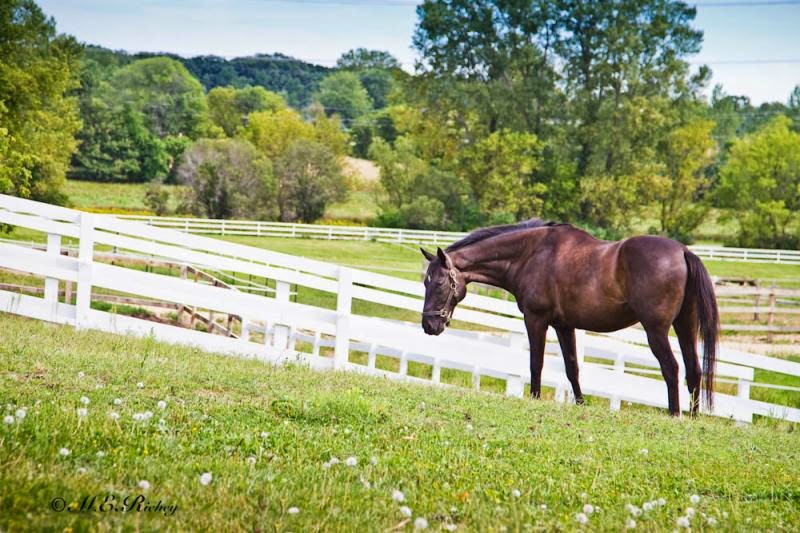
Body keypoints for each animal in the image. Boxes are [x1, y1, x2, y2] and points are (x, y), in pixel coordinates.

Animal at [420, 219, 719, 416]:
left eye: (438, 283)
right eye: (426, 281)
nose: (429, 325)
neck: (531, 253)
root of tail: (683, 251)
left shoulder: (536, 320)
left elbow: (536, 364)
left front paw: (535, 398)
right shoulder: (564, 326)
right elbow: (572, 367)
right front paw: (580, 404)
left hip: (656, 330)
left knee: (671, 368)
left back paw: (674, 415)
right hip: (685, 325)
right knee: (693, 370)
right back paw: (692, 417)